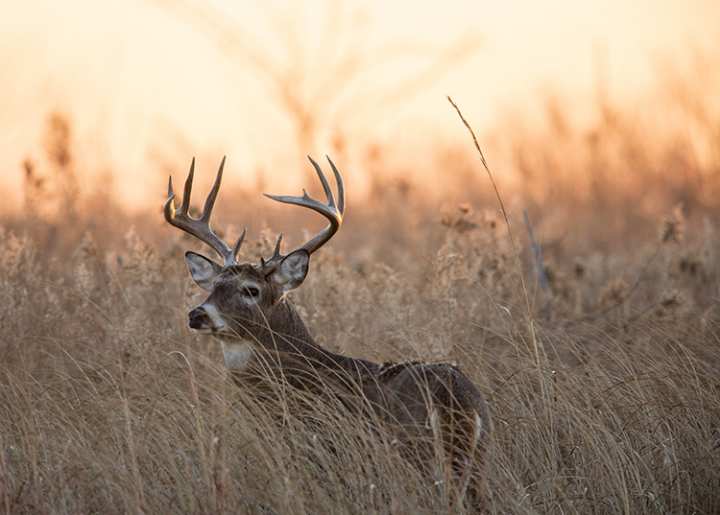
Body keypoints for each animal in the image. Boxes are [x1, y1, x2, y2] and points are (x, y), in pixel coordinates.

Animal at [164, 156, 491, 506]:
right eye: (214, 286)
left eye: (250, 290)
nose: (197, 314)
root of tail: (452, 400)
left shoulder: (321, 448)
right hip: (477, 460)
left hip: (417, 454)